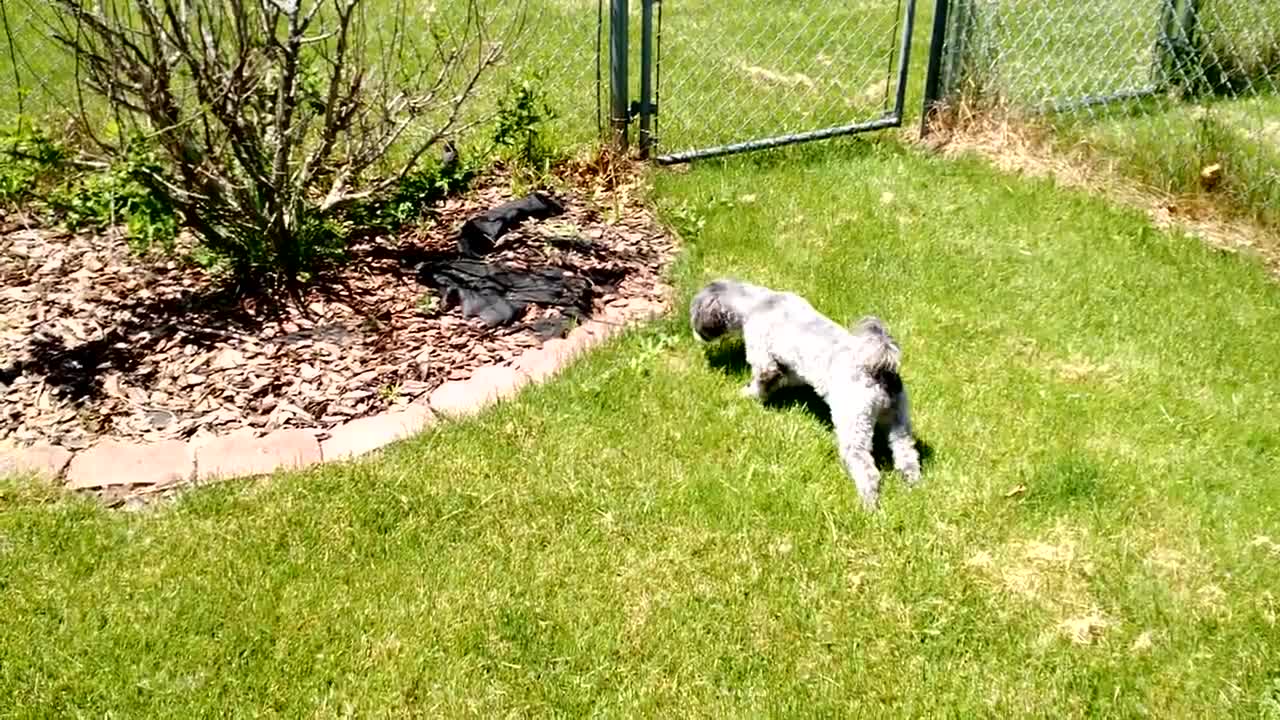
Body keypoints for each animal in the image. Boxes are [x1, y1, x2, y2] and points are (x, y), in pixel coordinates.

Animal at [691, 278, 921, 507]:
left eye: (694, 313)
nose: (695, 333)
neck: (760, 302)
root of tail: (880, 370)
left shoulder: (762, 355)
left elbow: (762, 380)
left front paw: (747, 395)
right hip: (898, 420)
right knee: (907, 454)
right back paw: (913, 486)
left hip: (854, 422)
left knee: (866, 467)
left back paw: (868, 503)